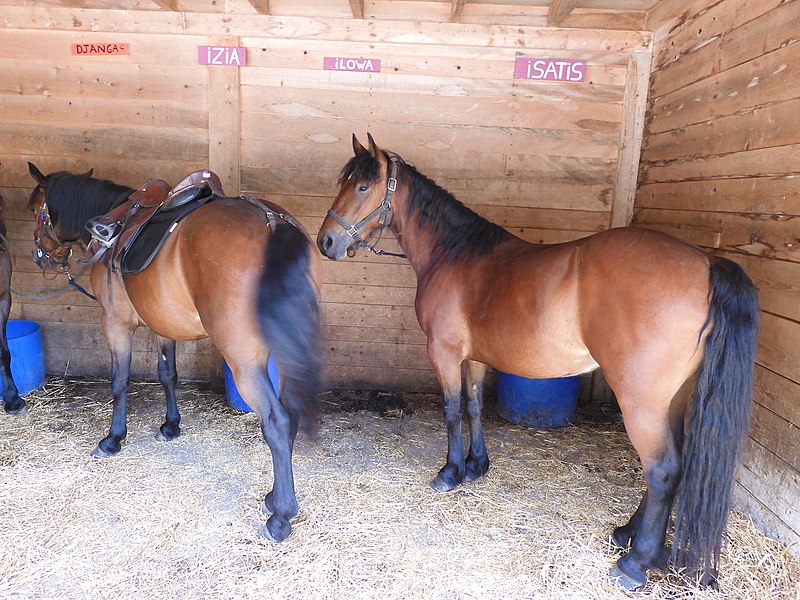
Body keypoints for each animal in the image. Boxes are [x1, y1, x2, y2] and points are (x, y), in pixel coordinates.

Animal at [28, 162, 322, 540]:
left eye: (35, 209)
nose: (40, 258)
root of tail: (274, 223)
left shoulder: (115, 322)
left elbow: (119, 382)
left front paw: (113, 439)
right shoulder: (161, 323)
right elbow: (167, 374)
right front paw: (171, 425)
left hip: (244, 362)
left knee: (277, 421)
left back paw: (281, 514)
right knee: (292, 415)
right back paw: (273, 497)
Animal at [316, 135, 760, 592]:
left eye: (363, 187)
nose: (326, 242)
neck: (453, 255)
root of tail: (707, 265)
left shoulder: (444, 352)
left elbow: (452, 412)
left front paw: (450, 472)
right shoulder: (474, 357)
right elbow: (474, 407)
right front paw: (476, 466)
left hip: (642, 403)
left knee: (662, 470)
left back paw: (636, 562)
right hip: (673, 400)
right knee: (676, 466)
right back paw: (628, 534)